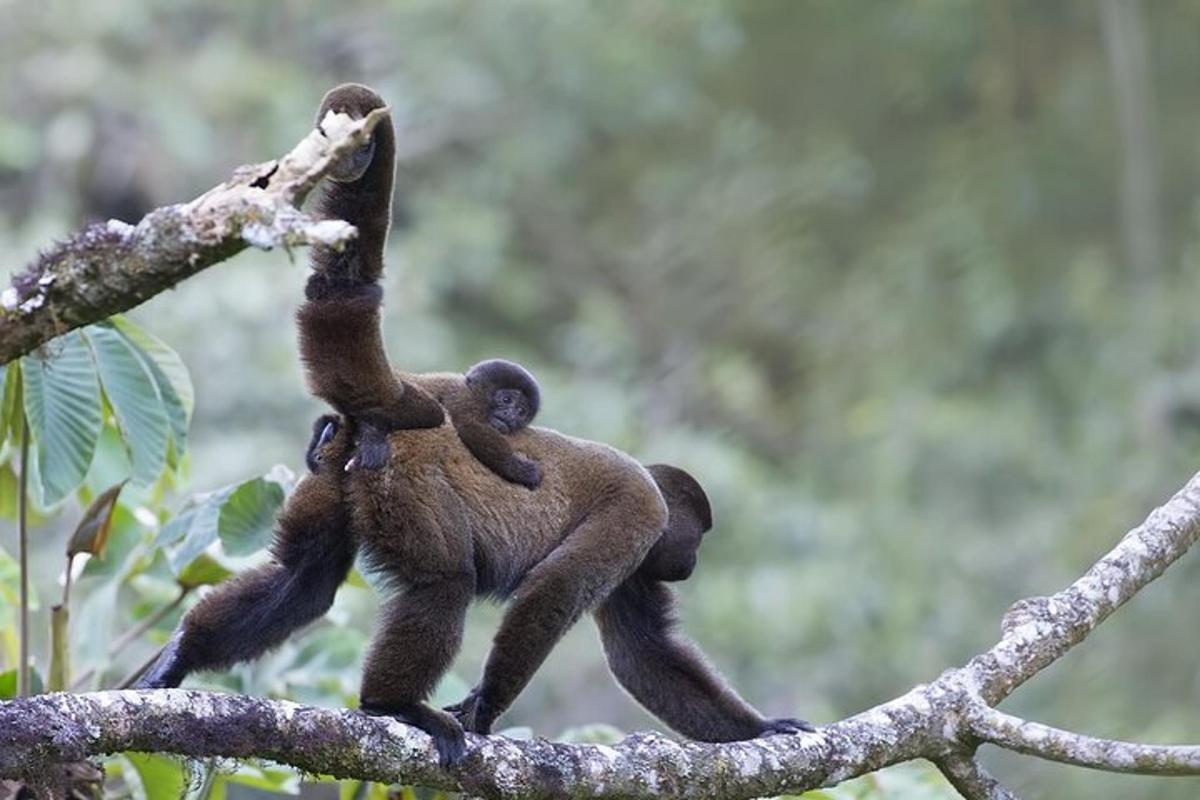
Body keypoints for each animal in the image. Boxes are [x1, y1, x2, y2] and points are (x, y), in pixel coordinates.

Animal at [319, 359, 544, 491]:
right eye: (506, 400)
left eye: (521, 412)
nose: (511, 415)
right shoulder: (464, 398)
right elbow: (470, 427)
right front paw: (522, 471)